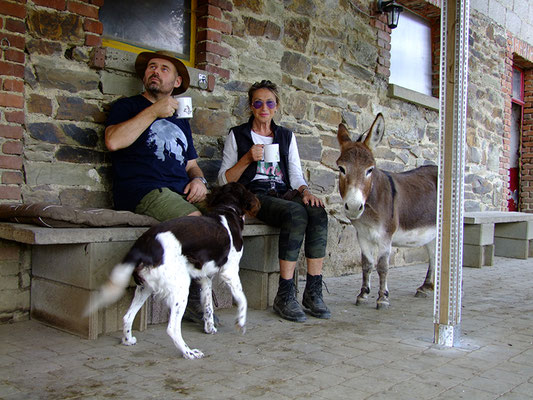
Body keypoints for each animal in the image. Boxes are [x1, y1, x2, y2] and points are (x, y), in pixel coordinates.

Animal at [84, 183, 260, 360]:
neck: (227, 209)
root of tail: (143, 246)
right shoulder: (230, 271)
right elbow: (242, 299)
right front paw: (241, 323)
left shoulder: (204, 277)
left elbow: (208, 305)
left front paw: (209, 328)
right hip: (180, 286)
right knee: (172, 328)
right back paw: (189, 352)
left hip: (145, 287)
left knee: (127, 316)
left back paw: (128, 340)